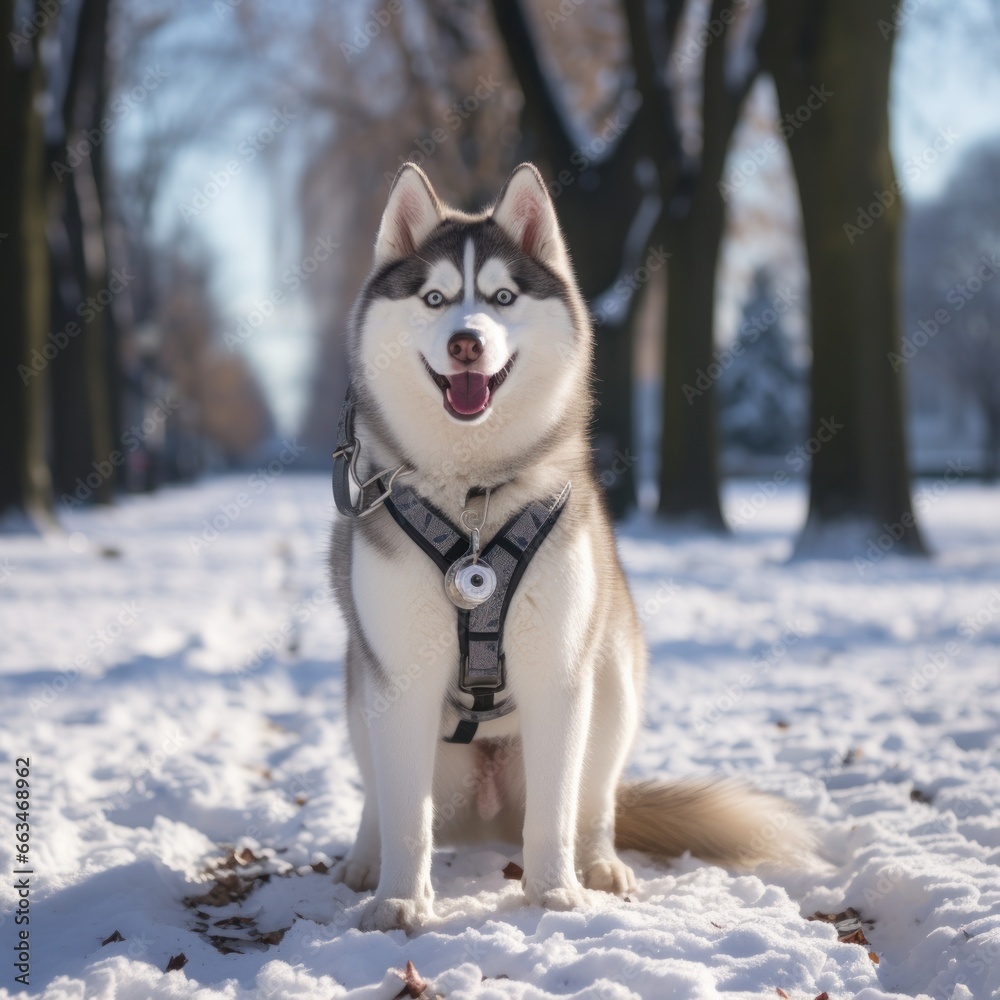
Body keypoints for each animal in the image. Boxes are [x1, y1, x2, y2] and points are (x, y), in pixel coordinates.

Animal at [330, 160, 812, 932]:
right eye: (435, 298)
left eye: (502, 296)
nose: (467, 342)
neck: (474, 495)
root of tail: (486, 814)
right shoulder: (398, 675)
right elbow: (407, 814)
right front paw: (401, 900)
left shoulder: (560, 668)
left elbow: (557, 807)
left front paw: (555, 892)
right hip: (358, 686)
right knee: (384, 795)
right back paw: (366, 860)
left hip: (612, 677)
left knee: (592, 799)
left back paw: (599, 864)